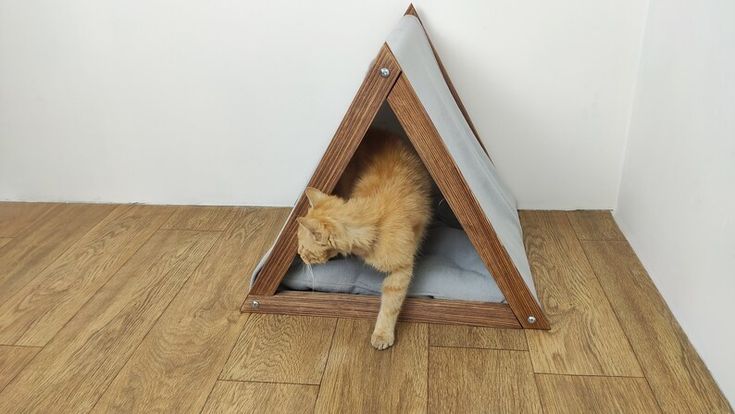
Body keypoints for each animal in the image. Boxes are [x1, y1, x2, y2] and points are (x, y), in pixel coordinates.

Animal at [298, 129, 434, 350]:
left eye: (302, 247)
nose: (298, 255)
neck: (374, 223)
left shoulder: (402, 270)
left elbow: (390, 305)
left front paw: (382, 334)